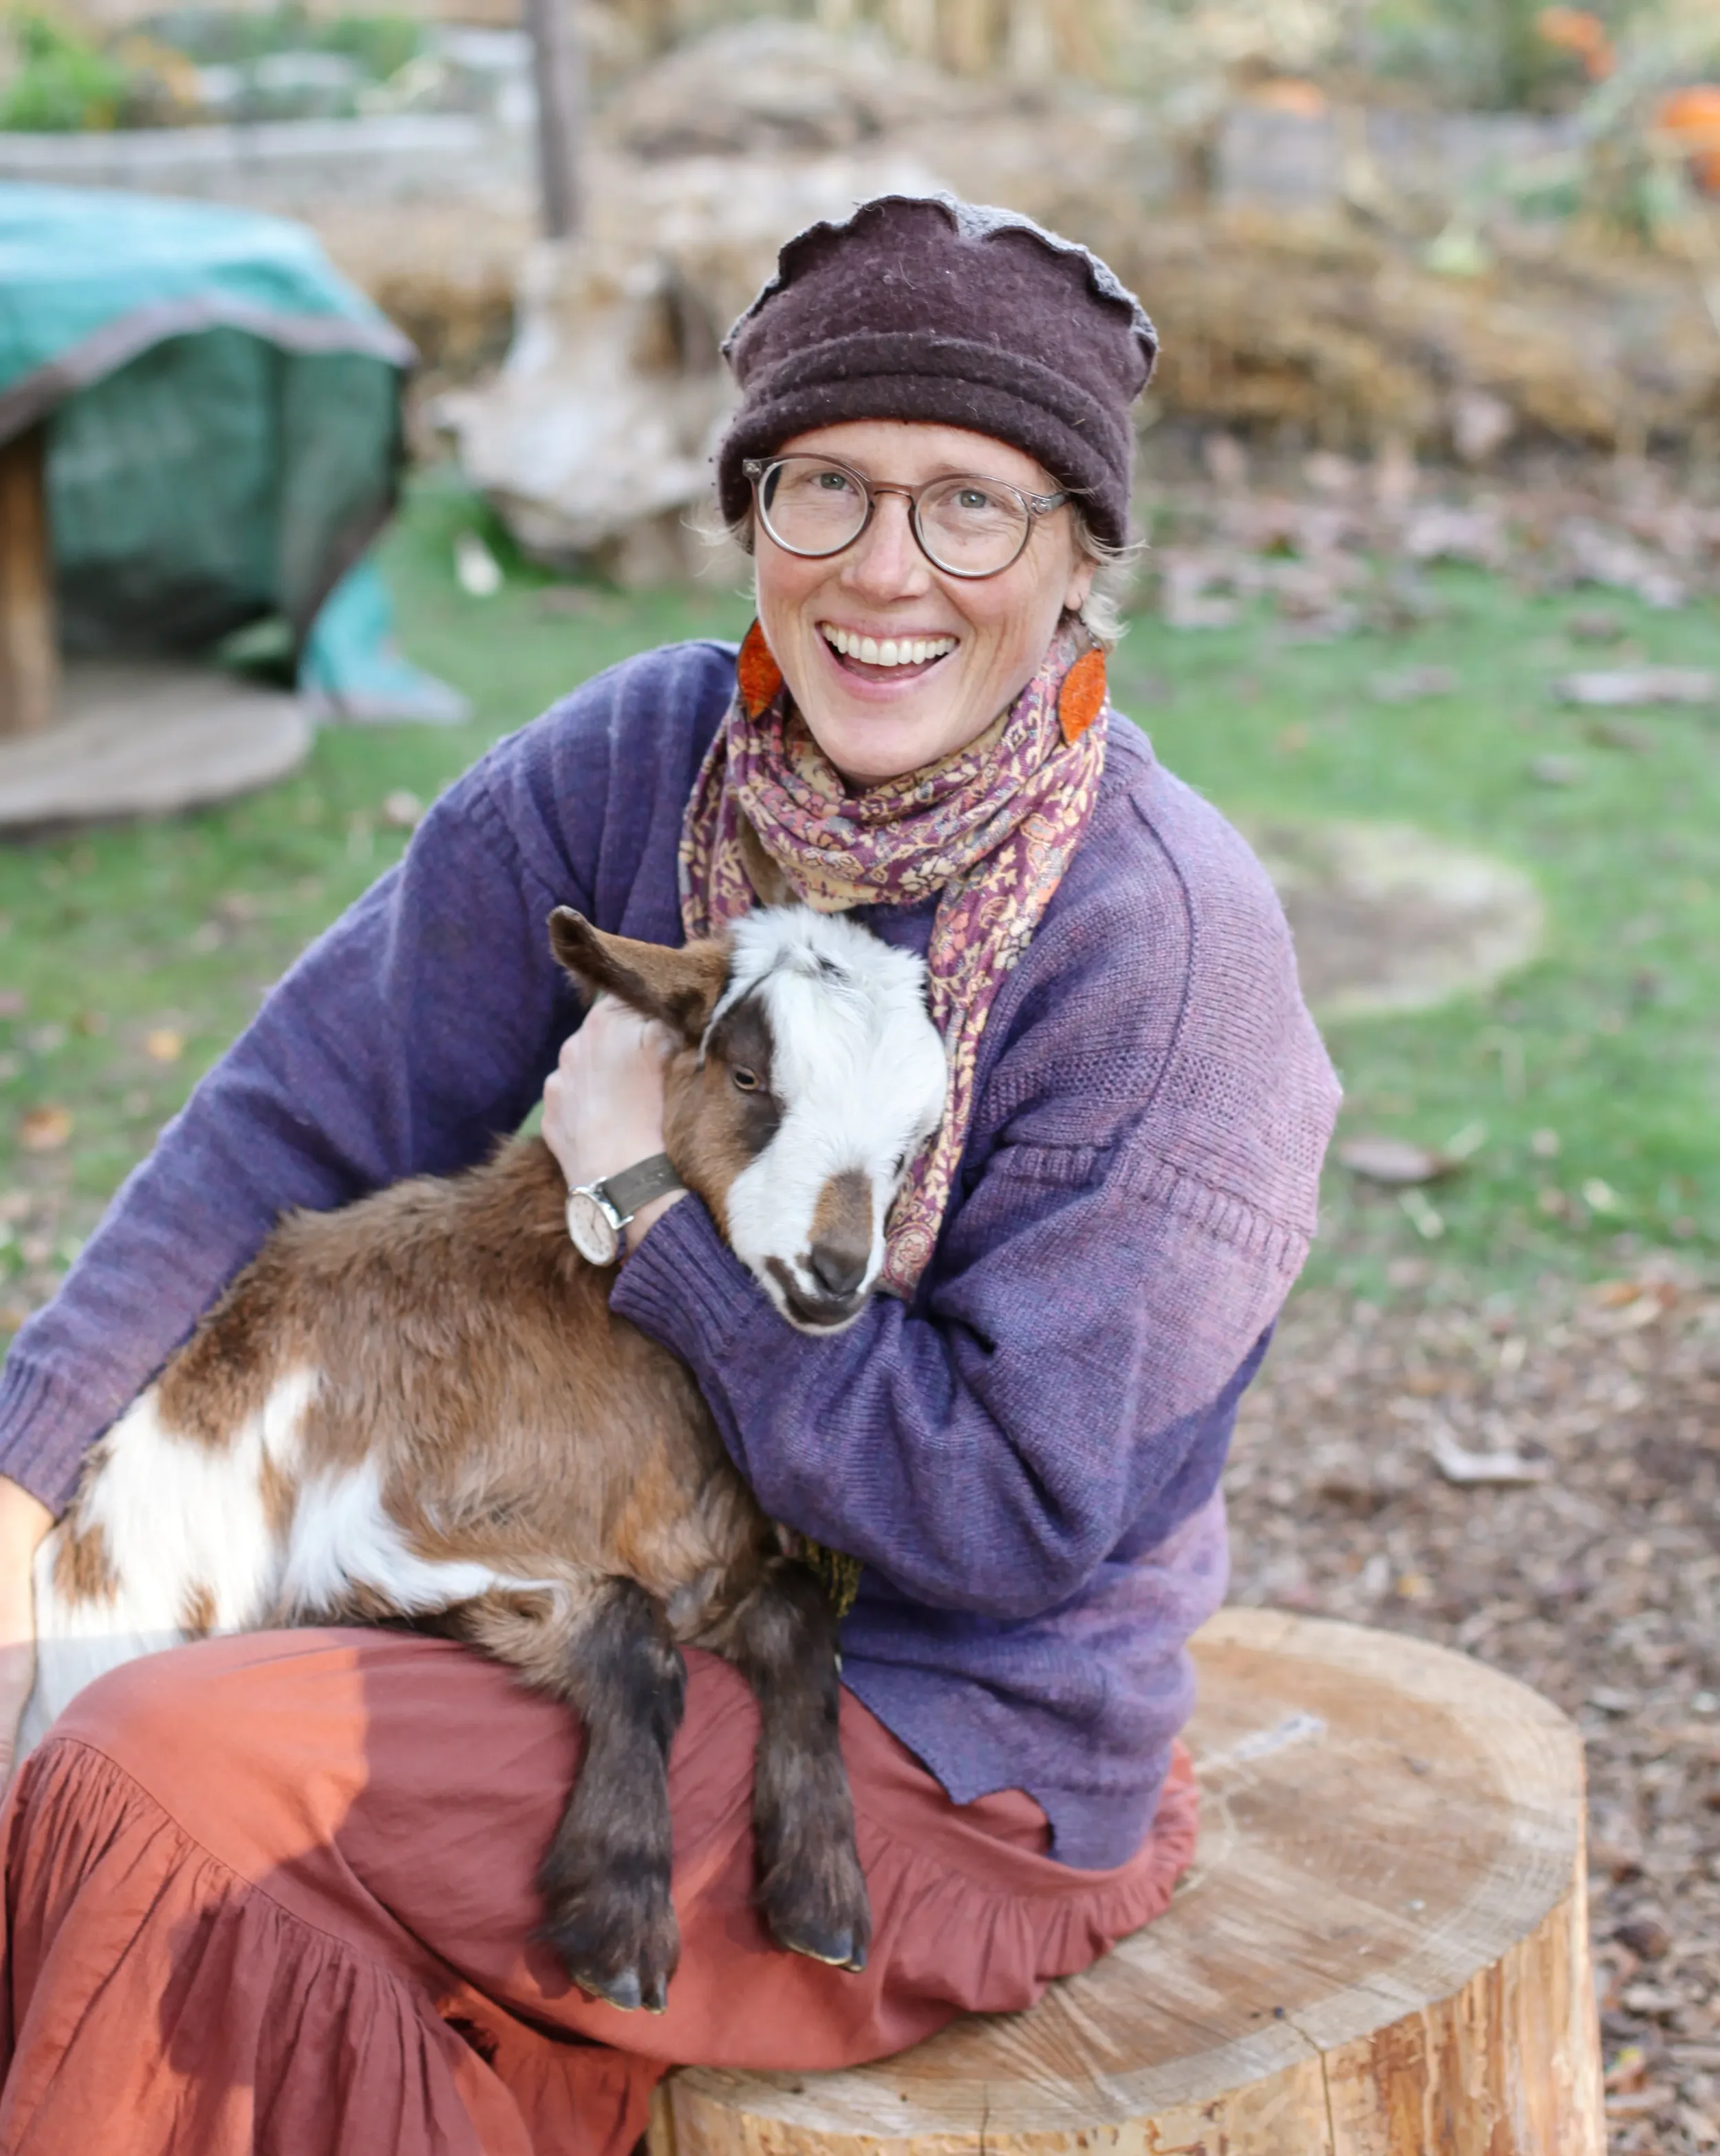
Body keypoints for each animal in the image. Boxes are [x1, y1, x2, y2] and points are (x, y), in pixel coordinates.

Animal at [23, 904, 949, 2014]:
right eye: (749, 1077)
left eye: (915, 1143)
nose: (836, 1273)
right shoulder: (392, 1543)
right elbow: (634, 1636)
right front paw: (619, 1921)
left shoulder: (706, 1563)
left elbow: (803, 1617)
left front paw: (822, 1898)